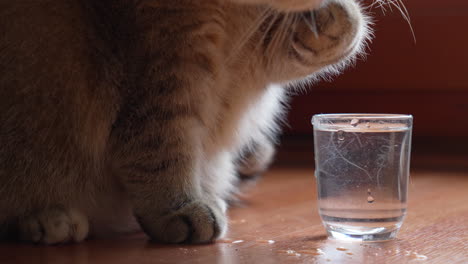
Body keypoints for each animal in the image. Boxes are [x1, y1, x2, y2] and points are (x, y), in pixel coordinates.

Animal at [0, 0, 370, 244]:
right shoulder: (166, 74)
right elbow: (163, 149)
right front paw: (178, 207)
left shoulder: (253, 51)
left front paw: (338, 15)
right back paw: (48, 219)